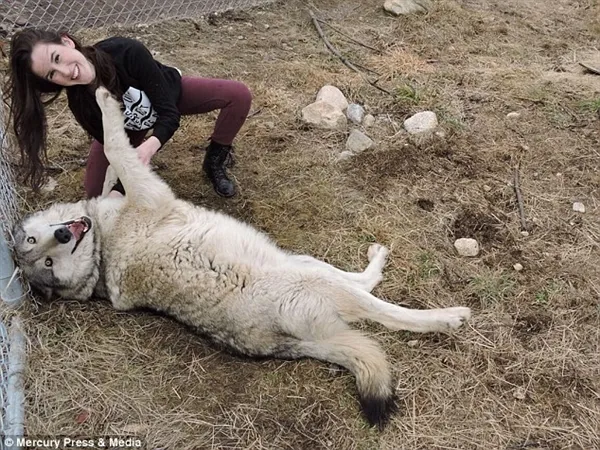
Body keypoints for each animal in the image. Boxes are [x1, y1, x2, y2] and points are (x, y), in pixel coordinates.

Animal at [11, 87, 474, 428]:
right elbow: (114, 144)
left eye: (40, 246)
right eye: (46, 259)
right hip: (310, 282)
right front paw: (108, 101)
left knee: (363, 283)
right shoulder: (145, 189)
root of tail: (282, 346)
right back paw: (449, 317)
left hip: (298, 262)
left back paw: (379, 259)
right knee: (387, 314)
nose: (62, 232)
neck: (102, 248)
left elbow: (110, 160)